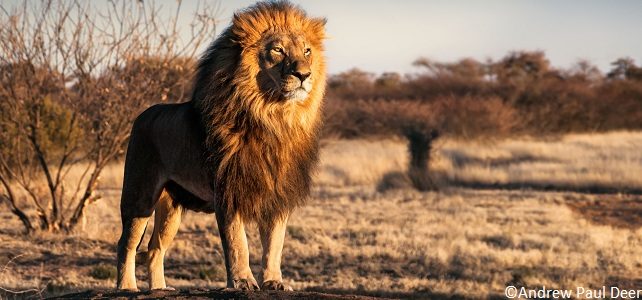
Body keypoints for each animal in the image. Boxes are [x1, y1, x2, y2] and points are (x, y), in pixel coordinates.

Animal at [115, 0, 324, 290]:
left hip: (171, 207)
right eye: (278, 50)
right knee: (126, 244)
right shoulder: (228, 190)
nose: (304, 74)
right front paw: (242, 281)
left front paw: (274, 281)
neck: (274, 118)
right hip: (139, 196)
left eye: (306, 51)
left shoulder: (278, 194)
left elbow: (275, 244)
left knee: (155, 249)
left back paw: (159, 289)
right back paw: (127, 287)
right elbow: (238, 242)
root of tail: (142, 114)